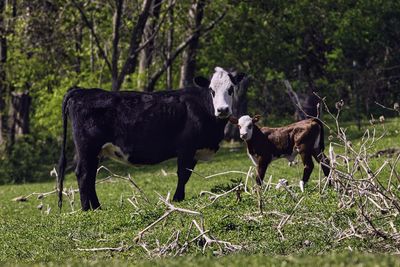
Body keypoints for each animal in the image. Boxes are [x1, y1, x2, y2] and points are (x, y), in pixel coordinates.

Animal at [56, 67, 244, 211]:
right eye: (212, 90)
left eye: (231, 89)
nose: (222, 110)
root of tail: (82, 91)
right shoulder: (186, 147)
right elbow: (183, 175)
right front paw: (177, 200)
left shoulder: (193, 152)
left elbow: (187, 175)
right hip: (87, 147)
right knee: (83, 174)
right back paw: (88, 208)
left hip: (94, 151)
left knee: (90, 176)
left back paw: (96, 207)